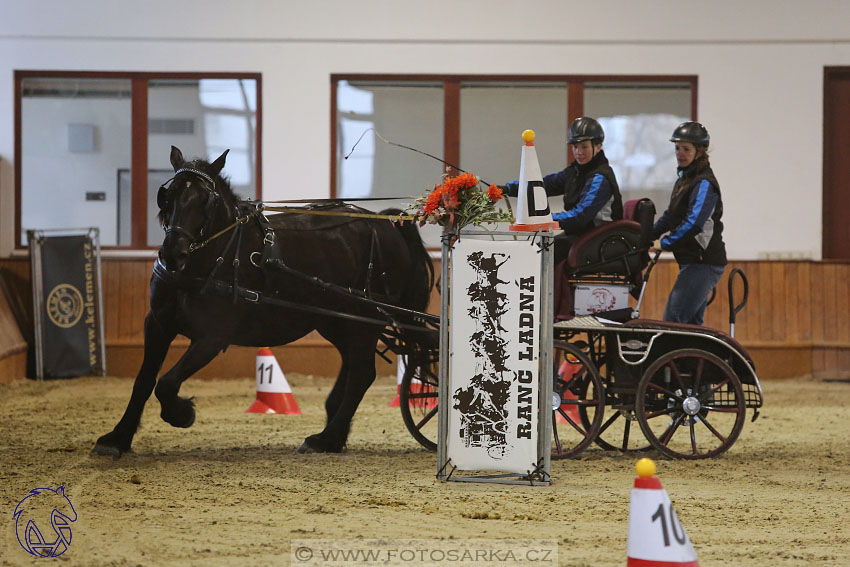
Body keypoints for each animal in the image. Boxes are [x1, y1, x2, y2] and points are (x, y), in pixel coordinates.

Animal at [96, 145, 434, 458]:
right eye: (167, 195)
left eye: (206, 200)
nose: (173, 254)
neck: (212, 256)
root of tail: (385, 222)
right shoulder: (157, 323)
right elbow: (143, 380)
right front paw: (117, 438)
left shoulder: (212, 337)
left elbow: (165, 383)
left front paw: (182, 413)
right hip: (337, 320)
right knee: (352, 367)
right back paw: (332, 434)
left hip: (362, 320)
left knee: (362, 374)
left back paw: (325, 439)